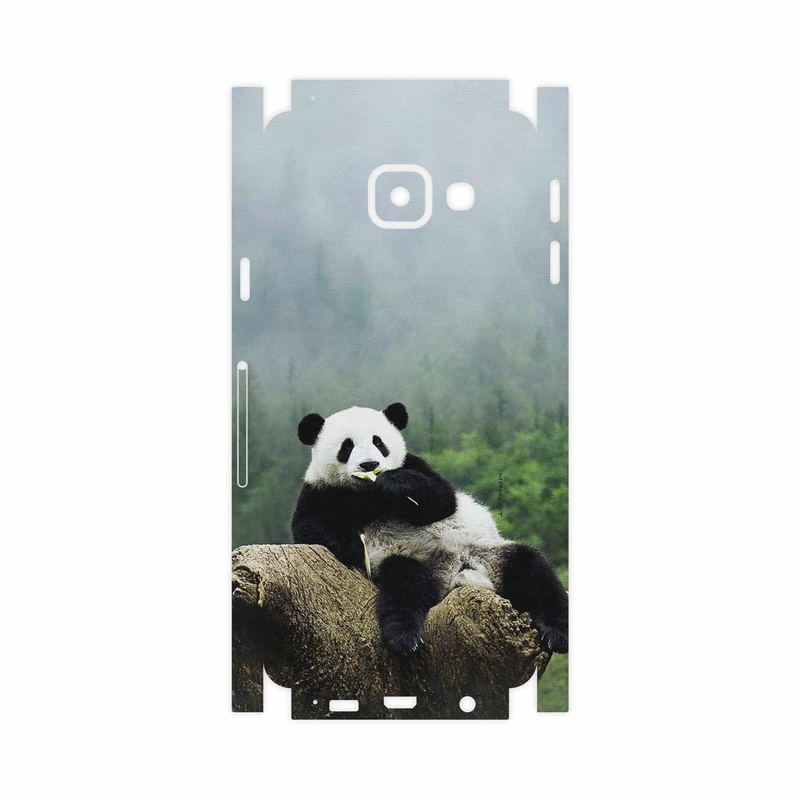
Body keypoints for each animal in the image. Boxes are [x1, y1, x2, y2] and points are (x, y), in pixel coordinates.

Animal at [292, 403, 568, 655]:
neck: (368, 494)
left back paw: (557, 633)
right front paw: (354, 547)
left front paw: (394, 482)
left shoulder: (415, 465)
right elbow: (309, 527)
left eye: (378, 442)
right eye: (347, 446)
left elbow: (442, 500)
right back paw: (405, 637)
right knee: (403, 587)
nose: (370, 464)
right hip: (415, 563)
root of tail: (459, 572)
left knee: (533, 570)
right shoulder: (320, 491)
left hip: (490, 553)